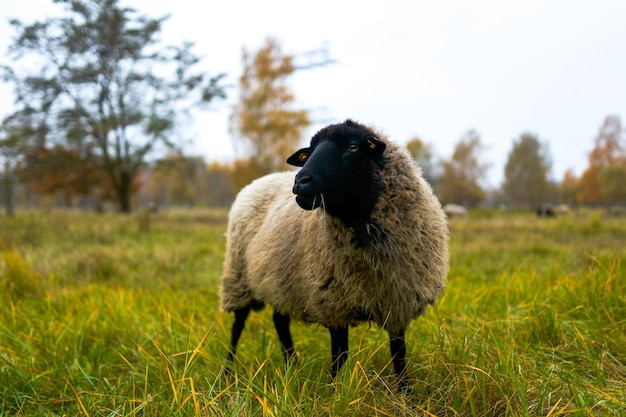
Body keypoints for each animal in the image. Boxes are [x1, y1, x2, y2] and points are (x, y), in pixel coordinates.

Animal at [217, 118, 446, 388]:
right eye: (308, 152)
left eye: (353, 147)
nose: (300, 181)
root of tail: (262, 180)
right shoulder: (333, 301)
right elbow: (340, 354)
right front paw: (333, 389)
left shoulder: (399, 300)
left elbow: (398, 353)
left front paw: (405, 392)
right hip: (238, 277)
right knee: (238, 325)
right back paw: (227, 373)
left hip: (280, 279)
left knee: (280, 321)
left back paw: (292, 367)